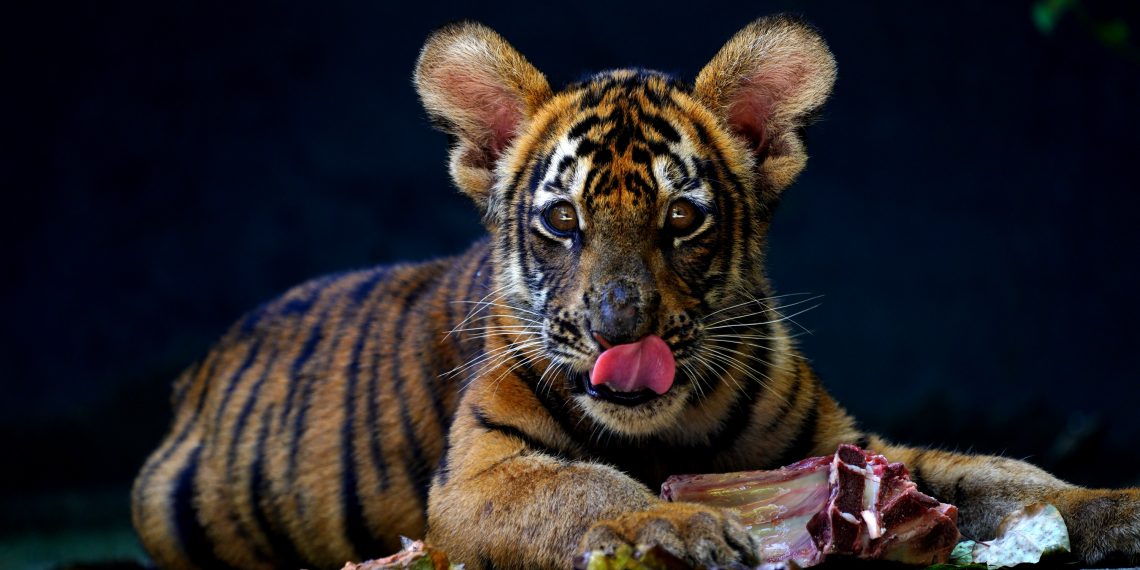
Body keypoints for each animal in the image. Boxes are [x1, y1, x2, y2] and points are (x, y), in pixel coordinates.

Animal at [131, 15, 1140, 570]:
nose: (622, 327)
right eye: (562, 220)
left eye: (682, 218)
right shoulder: (484, 476)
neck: (668, 431)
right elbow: (588, 491)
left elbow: (1000, 475)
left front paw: (1112, 507)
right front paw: (679, 523)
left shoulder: (852, 449)